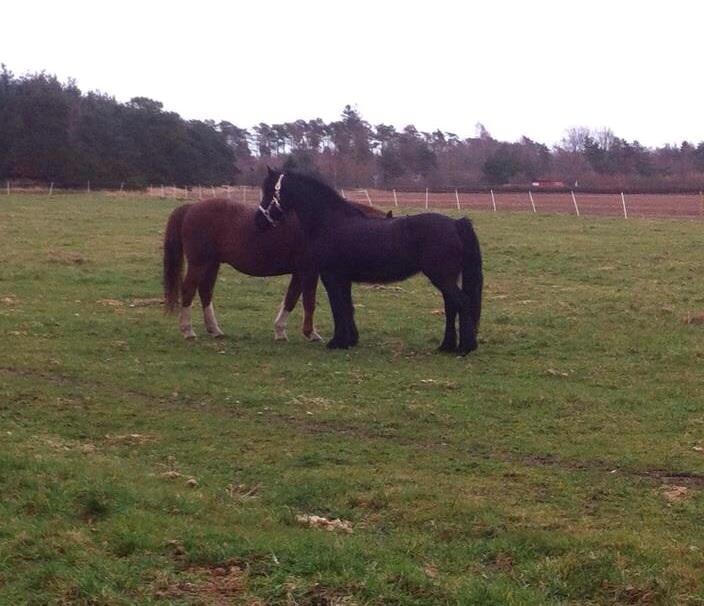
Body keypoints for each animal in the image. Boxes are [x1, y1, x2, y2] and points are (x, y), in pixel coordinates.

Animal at [163, 196, 389, 340]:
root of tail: (191, 207)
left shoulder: (299, 272)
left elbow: (291, 299)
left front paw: (280, 331)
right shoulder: (309, 271)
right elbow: (308, 301)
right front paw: (311, 333)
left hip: (212, 263)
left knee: (205, 292)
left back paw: (214, 329)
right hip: (199, 262)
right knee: (189, 290)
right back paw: (187, 330)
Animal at [255, 169, 483, 354]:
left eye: (269, 191)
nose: (258, 221)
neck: (330, 222)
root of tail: (455, 223)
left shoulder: (332, 276)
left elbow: (338, 307)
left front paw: (337, 342)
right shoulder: (343, 278)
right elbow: (348, 307)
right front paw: (350, 340)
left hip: (442, 277)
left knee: (461, 302)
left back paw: (465, 347)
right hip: (446, 277)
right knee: (451, 305)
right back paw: (446, 346)